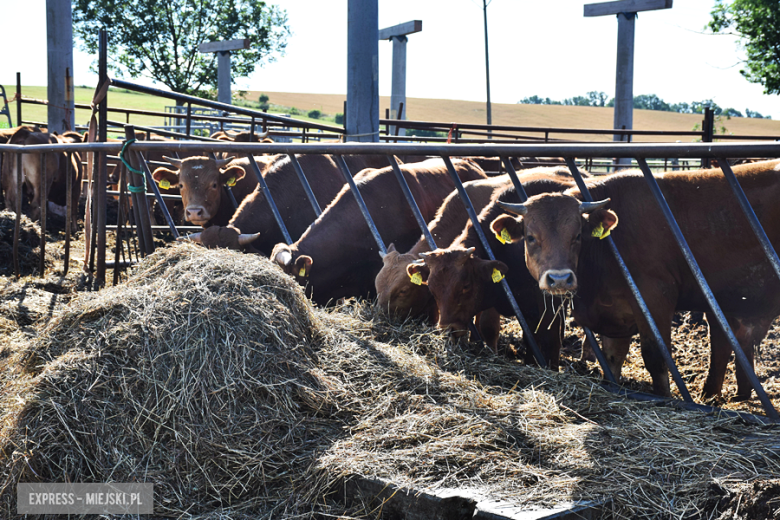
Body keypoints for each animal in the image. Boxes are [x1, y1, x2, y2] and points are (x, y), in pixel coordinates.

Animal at [494, 158, 780, 398]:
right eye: (530, 237)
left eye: (577, 235)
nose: (560, 279)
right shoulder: (614, 313)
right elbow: (612, 358)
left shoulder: (656, 298)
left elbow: (656, 358)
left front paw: (664, 397)